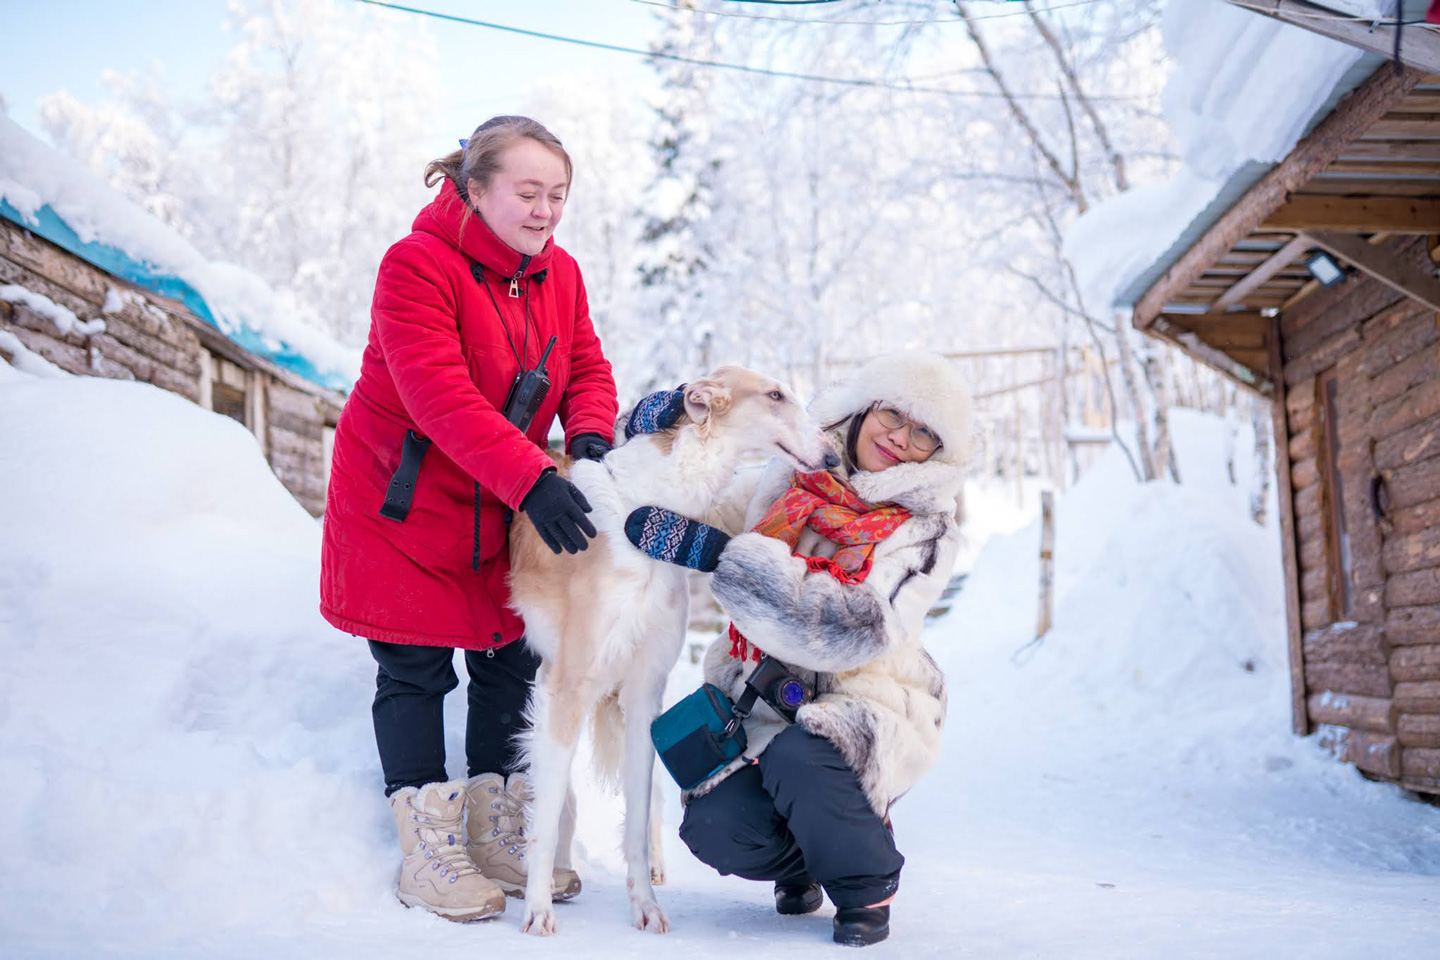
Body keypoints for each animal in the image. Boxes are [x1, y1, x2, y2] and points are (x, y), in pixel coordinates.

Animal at [506, 366, 838, 935]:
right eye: (775, 395)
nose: (834, 455)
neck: (644, 514)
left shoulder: (644, 689)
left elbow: (638, 810)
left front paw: (644, 905)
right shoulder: (565, 683)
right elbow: (547, 809)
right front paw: (537, 909)